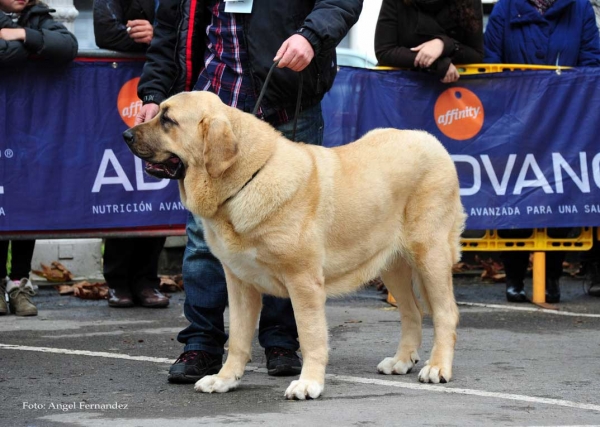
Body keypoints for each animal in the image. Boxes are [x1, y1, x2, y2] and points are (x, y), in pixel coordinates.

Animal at [122, 91, 466, 402]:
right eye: (159, 112)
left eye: (168, 120)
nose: (125, 134)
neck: (246, 179)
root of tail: (431, 140)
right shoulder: (240, 282)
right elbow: (238, 338)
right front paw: (224, 379)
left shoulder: (303, 282)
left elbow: (310, 335)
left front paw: (308, 383)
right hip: (392, 264)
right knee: (412, 311)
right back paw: (401, 361)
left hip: (429, 254)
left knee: (445, 312)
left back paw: (437, 368)